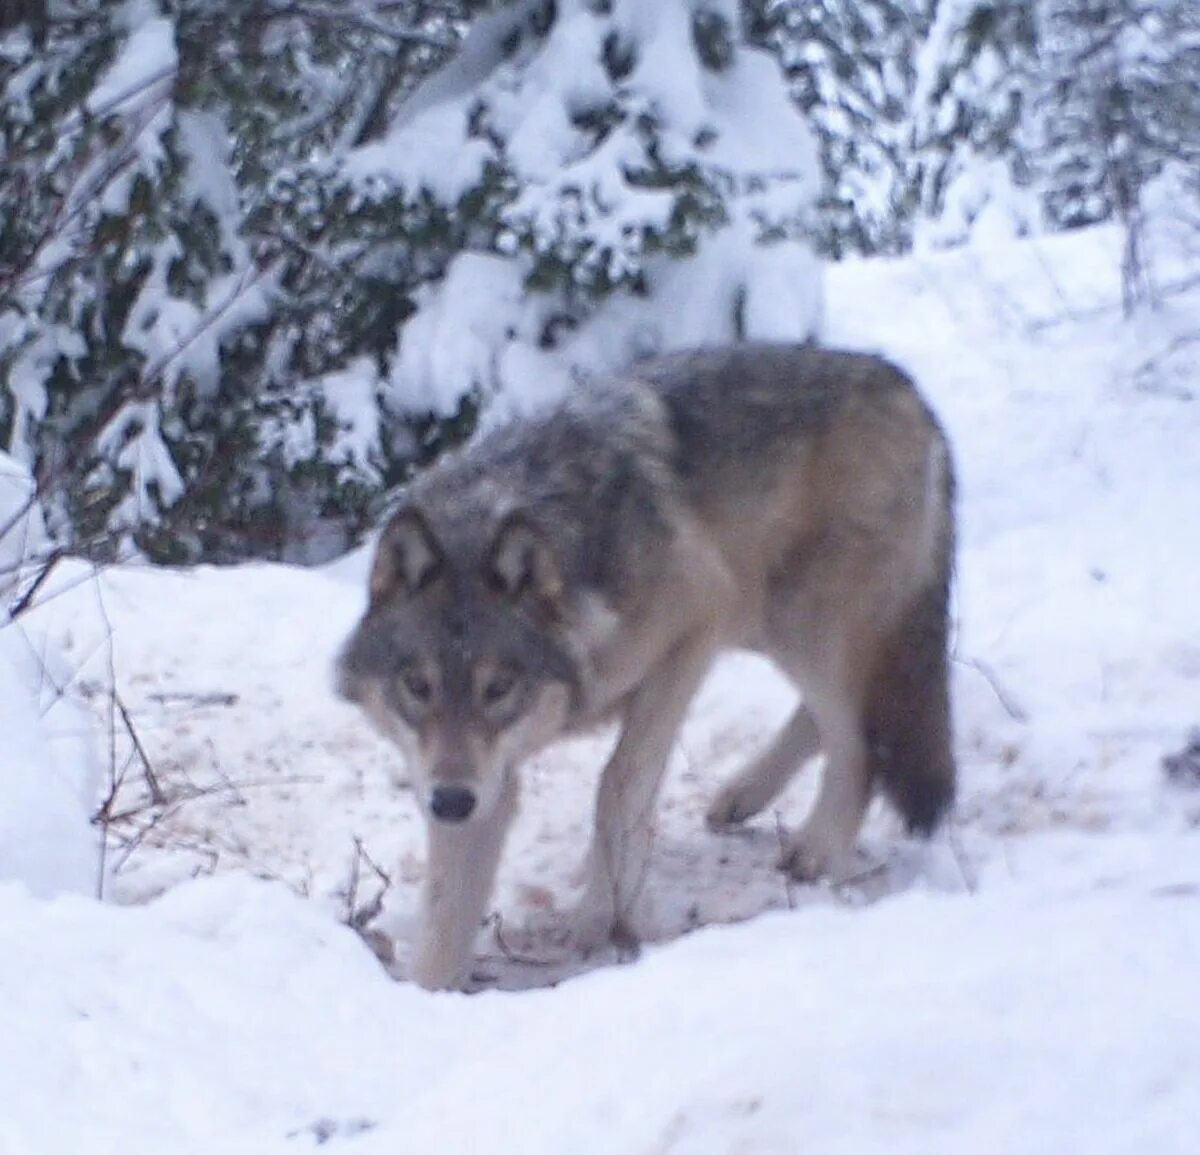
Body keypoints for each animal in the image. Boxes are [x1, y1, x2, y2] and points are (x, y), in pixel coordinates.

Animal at [338, 340, 955, 989]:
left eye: (499, 687)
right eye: (417, 686)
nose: (450, 802)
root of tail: (905, 385)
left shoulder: (694, 626)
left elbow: (620, 786)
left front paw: (613, 918)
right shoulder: (481, 780)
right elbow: (447, 921)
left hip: (797, 620)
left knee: (859, 740)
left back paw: (817, 849)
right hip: (769, 624)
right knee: (831, 717)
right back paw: (742, 794)